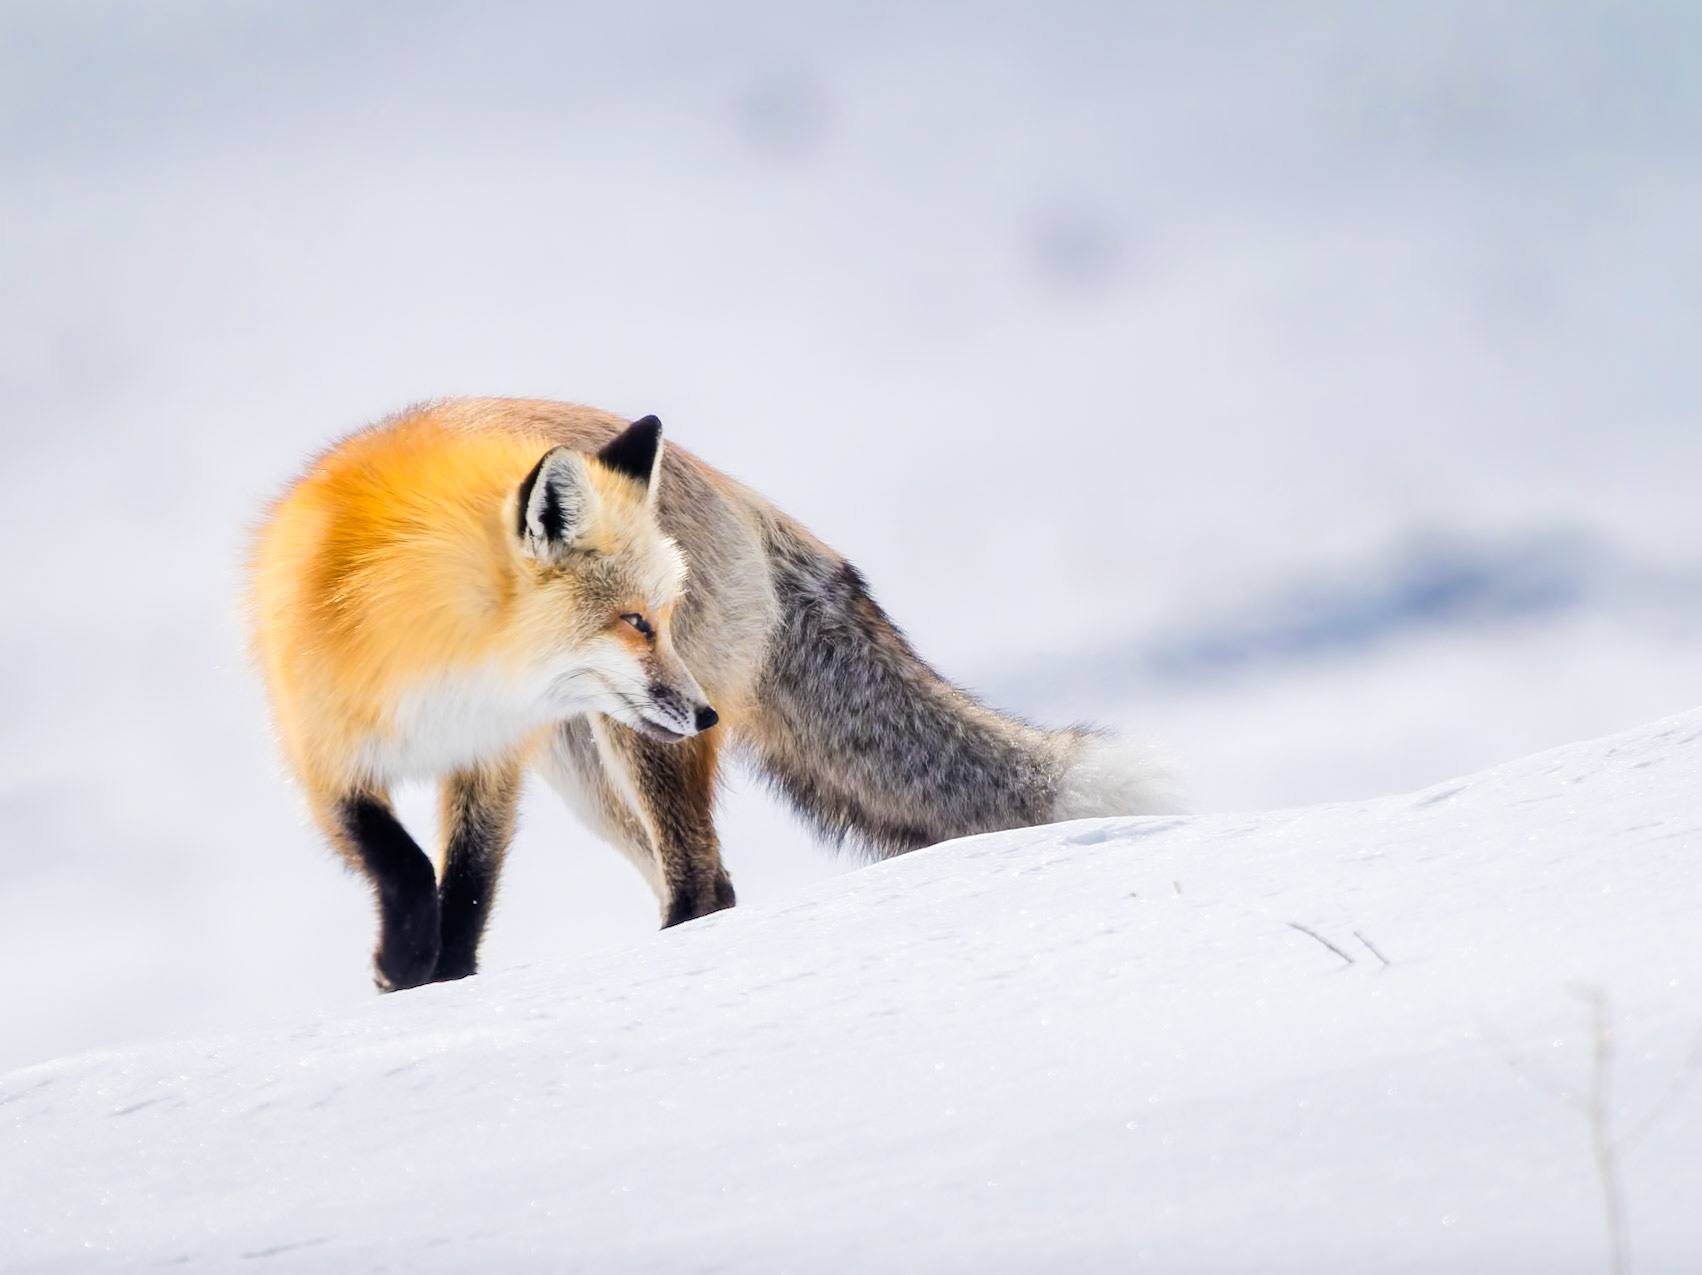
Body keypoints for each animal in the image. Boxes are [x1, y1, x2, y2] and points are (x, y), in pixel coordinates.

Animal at [250, 398, 1175, 990]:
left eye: (661, 616)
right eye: (632, 621)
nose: (707, 714)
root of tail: (735, 489)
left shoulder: (491, 758)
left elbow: (468, 879)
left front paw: (439, 979)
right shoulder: (321, 752)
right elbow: (404, 863)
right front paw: (424, 976)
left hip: (631, 748)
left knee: (700, 878)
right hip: (593, 773)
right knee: (705, 877)